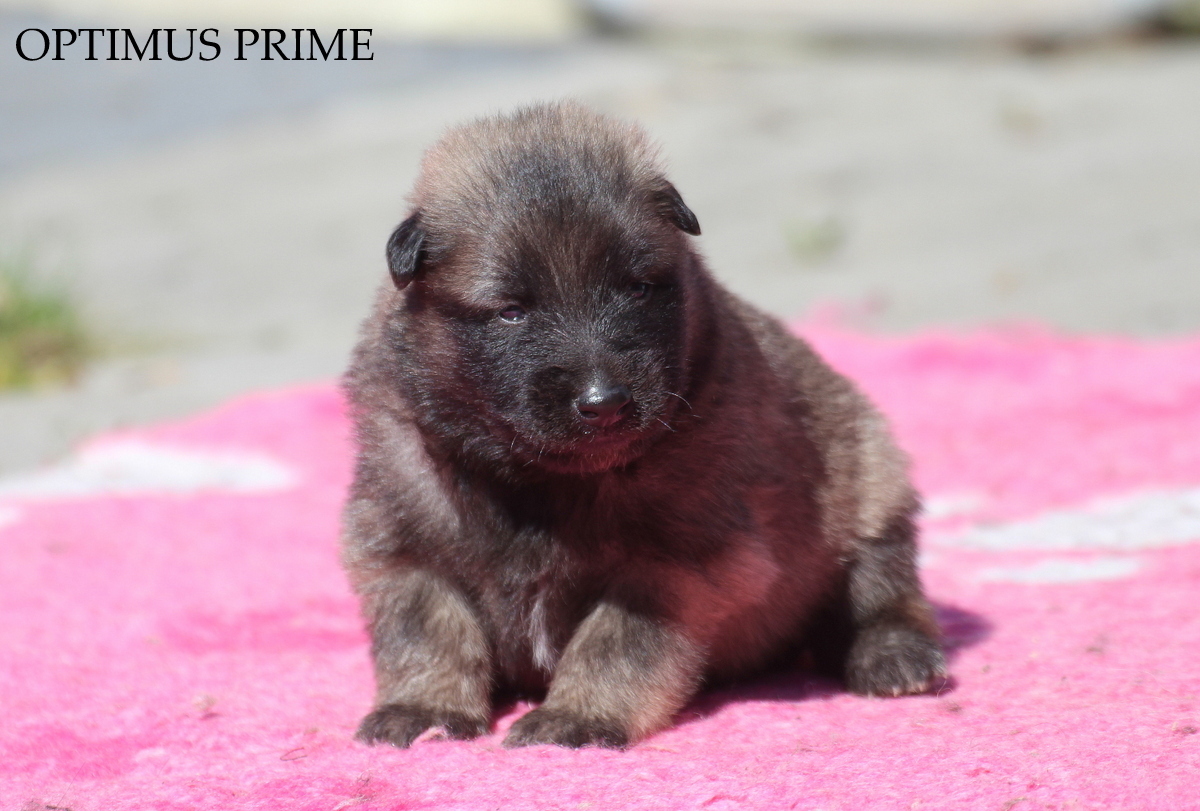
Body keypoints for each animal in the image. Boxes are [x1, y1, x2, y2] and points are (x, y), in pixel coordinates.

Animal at [341, 102, 945, 749]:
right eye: (511, 311)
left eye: (637, 288)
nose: (604, 402)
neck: (540, 482)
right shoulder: (404, 545)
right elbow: (429, 630)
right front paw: (423, 707)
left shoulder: (673, 564)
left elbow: (615, 641)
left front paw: (578, 715)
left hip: (868, 480)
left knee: (882, 586)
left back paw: (894, 656)